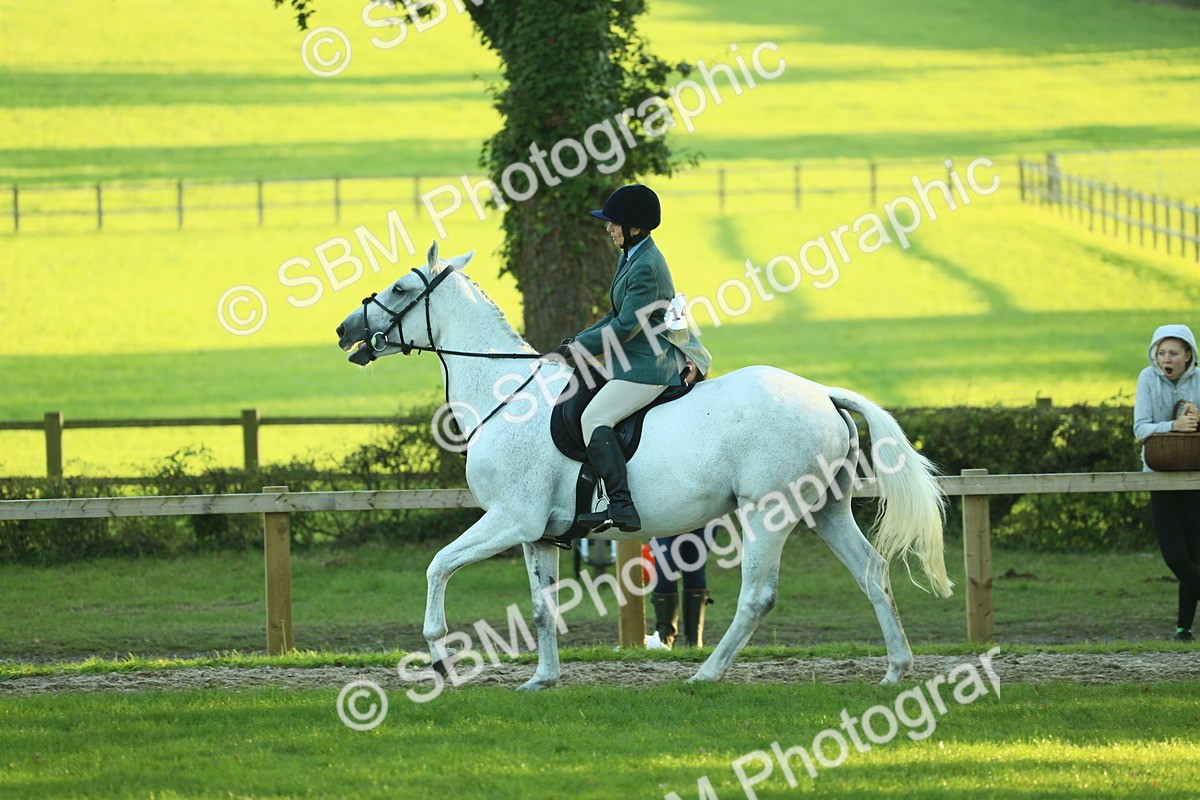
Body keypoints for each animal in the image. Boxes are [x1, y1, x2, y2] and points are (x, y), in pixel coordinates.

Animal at [335, 241, 952, 690]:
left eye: (401, 288)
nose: (344, 331)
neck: (507, 395)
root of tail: (823, 393)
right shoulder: (537, 534)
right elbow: (541, 608)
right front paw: (542, 680)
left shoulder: (510, 519)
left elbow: (438, 567)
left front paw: (440, 659)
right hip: (826, 508)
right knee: (872, 572)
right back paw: (896, 670)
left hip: (768, 512)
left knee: (758, 595)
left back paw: (705, 675)